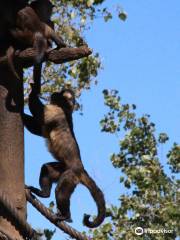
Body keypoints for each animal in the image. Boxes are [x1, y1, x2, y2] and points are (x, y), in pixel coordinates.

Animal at [23, 86, 106, 227]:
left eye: (60, 94)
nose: (55, 93)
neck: (66, 109)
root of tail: (81, 169)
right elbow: (40, 129)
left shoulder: (58, 112)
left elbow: (40, 116)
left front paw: (34, 90)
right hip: (63, 168)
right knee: (46, 168)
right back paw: (44, 194)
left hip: (71, 176)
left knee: (60, 191)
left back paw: (67, 216)